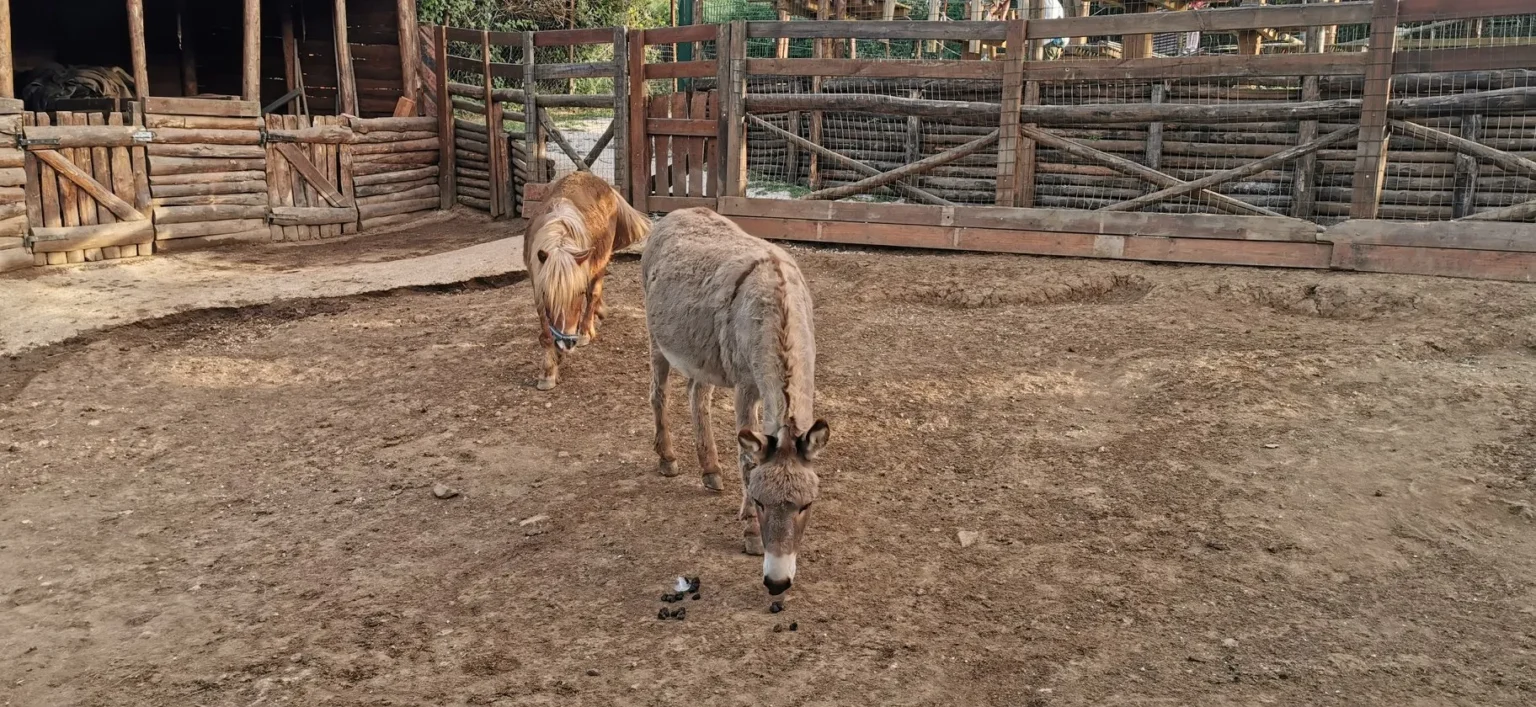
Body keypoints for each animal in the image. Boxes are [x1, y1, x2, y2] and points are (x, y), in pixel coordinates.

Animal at [525, 172, 651, 391]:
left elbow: (590, 295)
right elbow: (547, 331)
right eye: (548, 295)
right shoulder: (538, 288)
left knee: (595, 293)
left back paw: (586, 329)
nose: (567, 343)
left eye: (578, 293)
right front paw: (549, 370)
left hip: (601, 260)